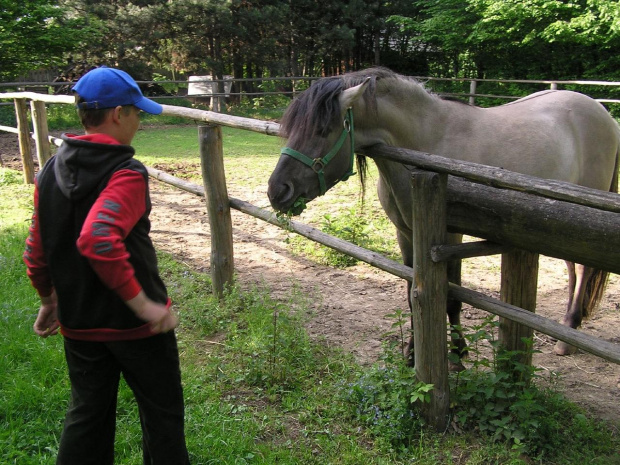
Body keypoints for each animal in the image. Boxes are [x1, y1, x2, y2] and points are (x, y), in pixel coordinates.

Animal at [268, 66, 620, 362]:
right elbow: (413, 295)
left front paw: (458, 354)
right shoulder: (407, 234)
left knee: (584, 270)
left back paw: (567, 334)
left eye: (322, 130)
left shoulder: (451, 236)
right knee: (574, 269)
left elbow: (452, 297)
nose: (277, 191)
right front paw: (412, 354)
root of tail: (602, 112)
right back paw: (569, 325)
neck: (428, 142)